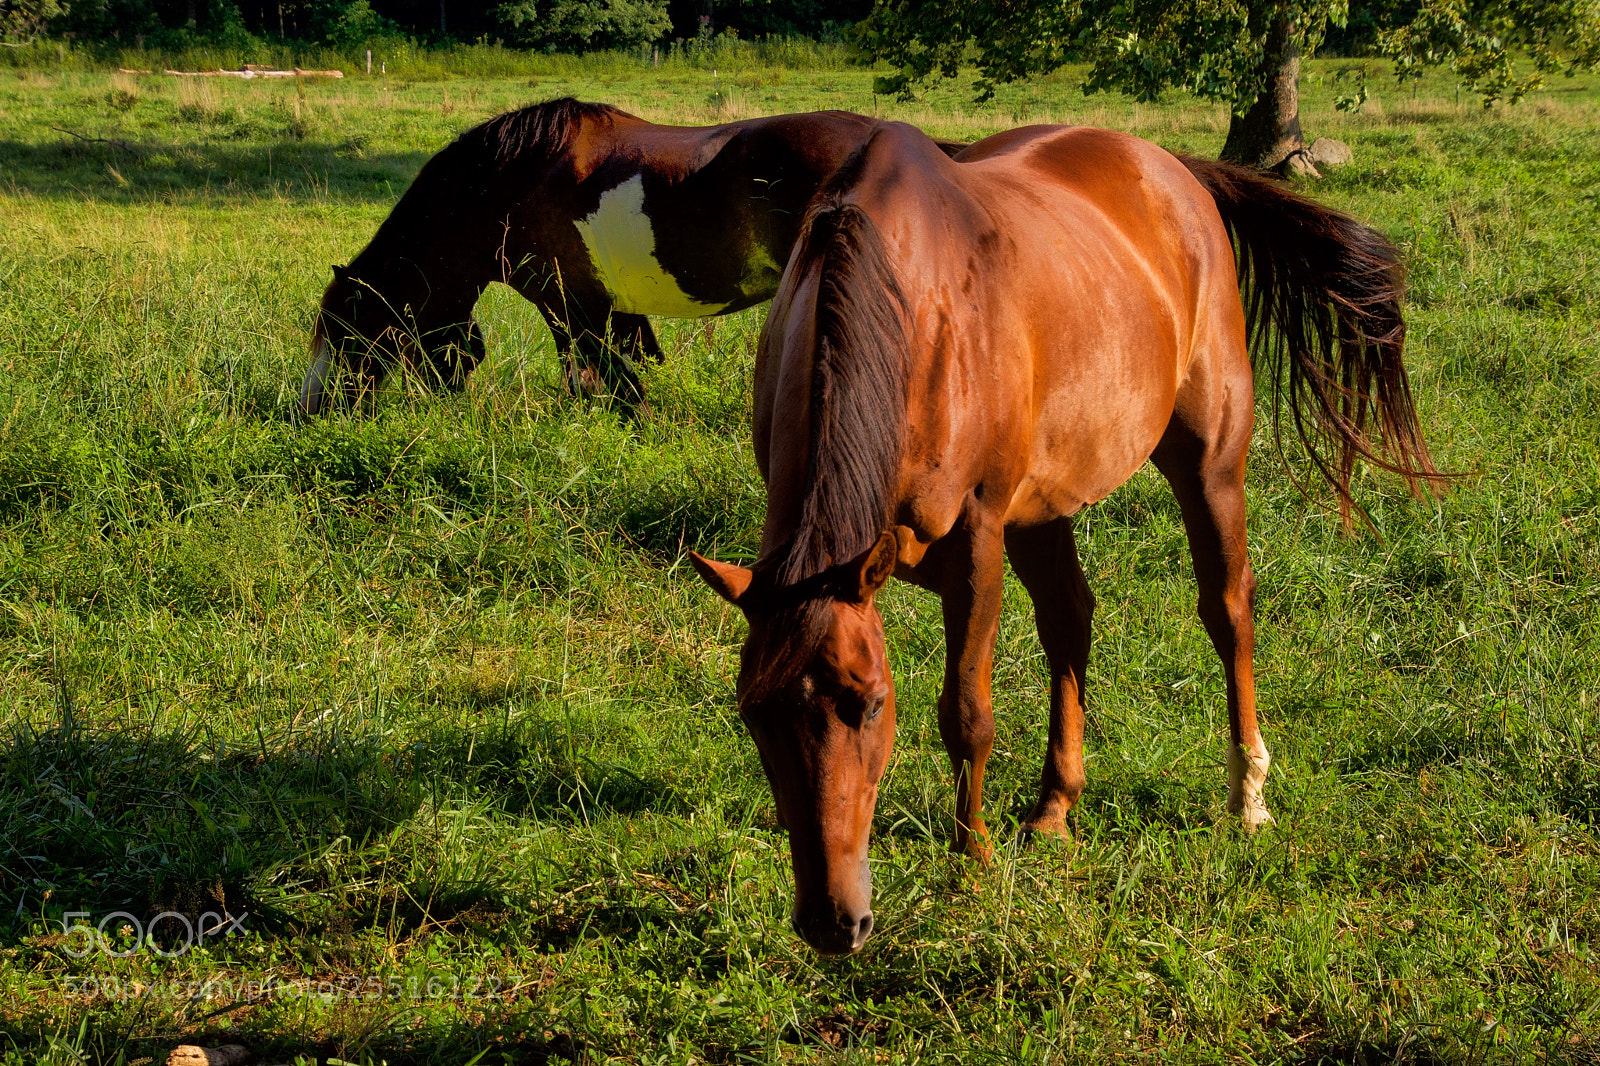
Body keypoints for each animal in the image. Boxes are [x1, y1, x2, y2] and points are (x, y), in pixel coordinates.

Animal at [299, 98, 963, 415]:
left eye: (345, 330)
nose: (311, 410)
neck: (504, 185)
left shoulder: (569, 307)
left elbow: (605, 383)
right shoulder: (597, 310)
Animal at [688, 122, 1444, 955]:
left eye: (873, 703)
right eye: (753, 711)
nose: (833, 922)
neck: (906, 313)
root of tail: (1175, 170)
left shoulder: (977, 541)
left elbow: (966, 713)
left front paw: (973, 862)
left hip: (1209, 462)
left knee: (1228, 610)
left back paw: (1247, 792)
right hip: (1044, 505)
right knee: (1070, 621)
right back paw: (1055, 805)